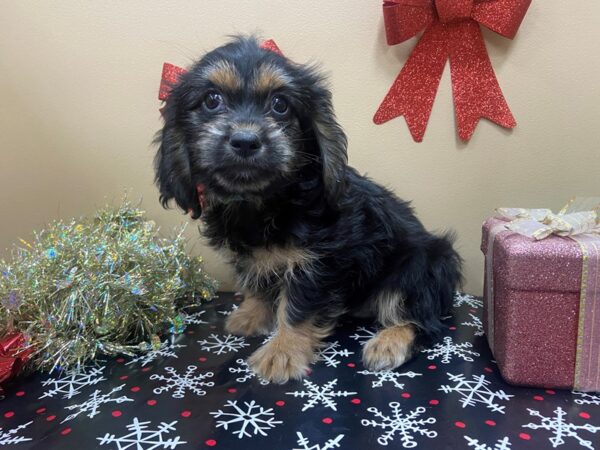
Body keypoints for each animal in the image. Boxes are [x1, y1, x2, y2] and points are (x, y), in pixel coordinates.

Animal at [155, 37, 464, 384]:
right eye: (211, 100)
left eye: (280, 105)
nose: (246, 140)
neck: (264, 200)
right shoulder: (253, 258)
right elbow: (257, 284)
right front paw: (251, 315)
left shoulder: (318, 263)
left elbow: (297, 306)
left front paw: (282, 351)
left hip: (419, 268)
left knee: (425, 321)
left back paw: (389, 342)